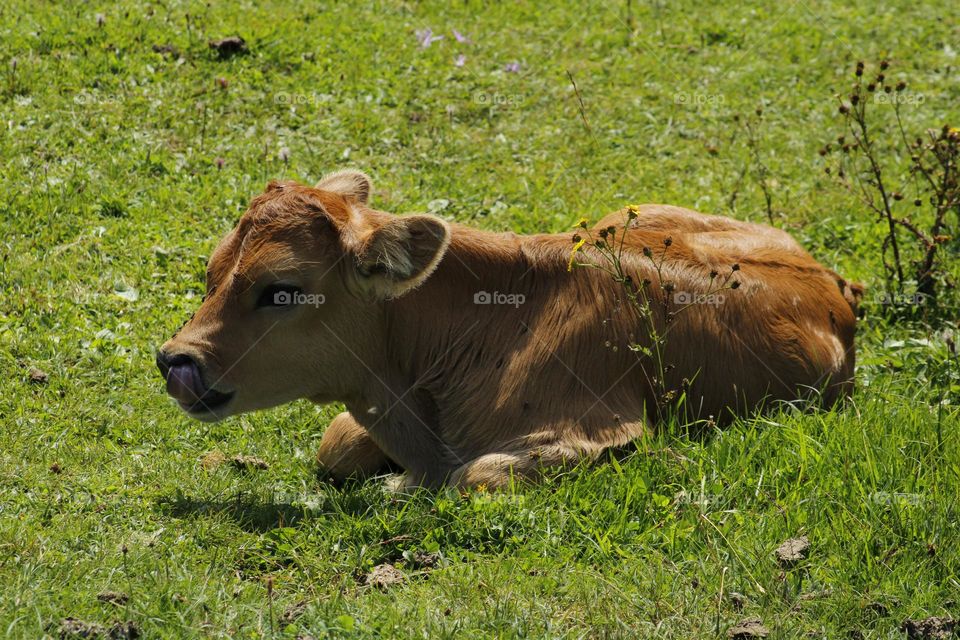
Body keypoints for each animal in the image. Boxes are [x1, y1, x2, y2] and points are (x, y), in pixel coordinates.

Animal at [156, 170, 860, 489]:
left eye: (281, 289)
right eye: (212, 271)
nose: (174, 360)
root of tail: (834, 284)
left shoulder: (595, 429)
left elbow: (478, 474)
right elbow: (335, 445)